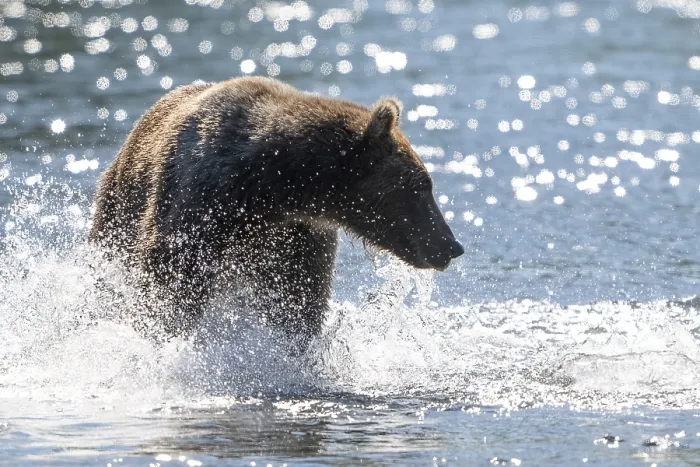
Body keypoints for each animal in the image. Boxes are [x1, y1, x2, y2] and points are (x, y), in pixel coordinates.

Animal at [90, 76, 463, 348]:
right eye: (421, 187)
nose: (451, 246)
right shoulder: (200, 203)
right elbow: (173, 278)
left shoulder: (298, 235)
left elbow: (298, 298)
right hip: (118, 206)